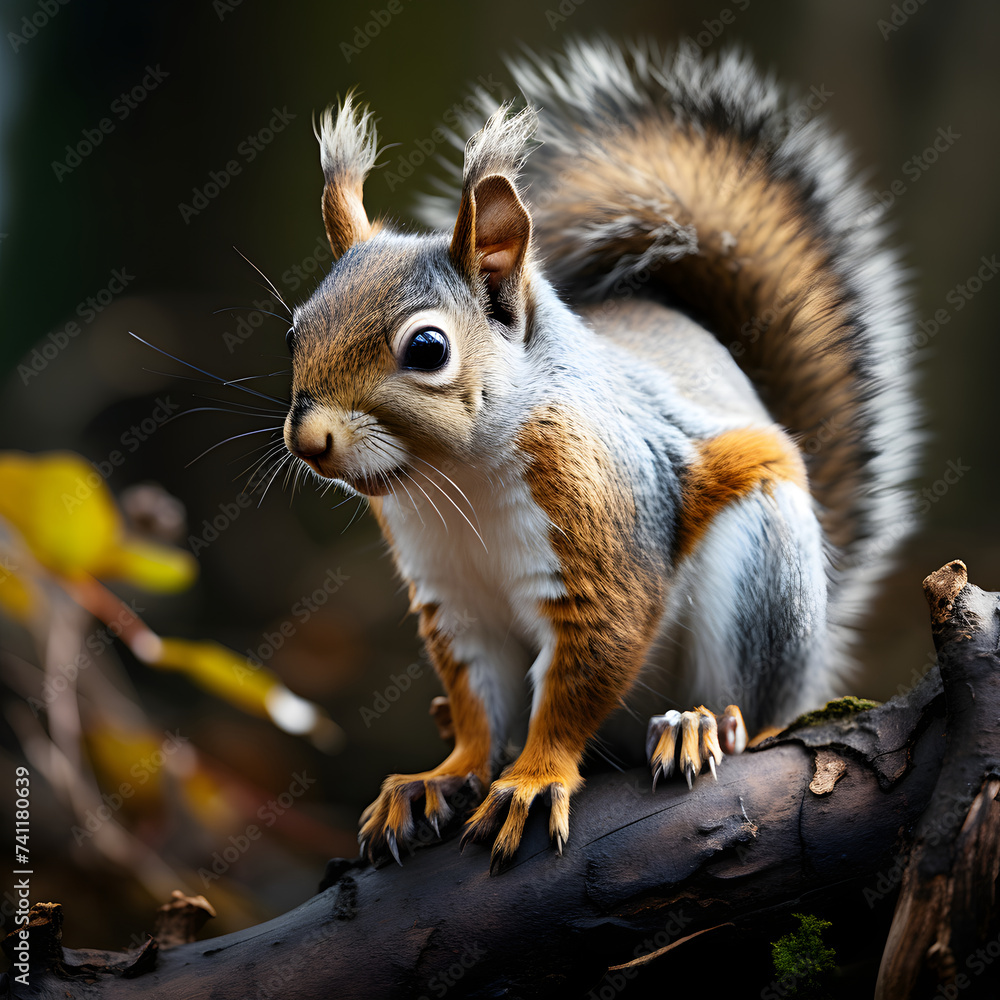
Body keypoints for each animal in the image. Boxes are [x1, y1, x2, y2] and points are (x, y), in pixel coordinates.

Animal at [282, 39, 917, 870]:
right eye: (294, 331)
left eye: (427, 348)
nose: (308, 440)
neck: (457, 480)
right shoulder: (452, 599)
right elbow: (478, 702)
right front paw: (440, 775)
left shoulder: (603, 531)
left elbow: (584, 672)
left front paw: (532, 779)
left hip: (764, 568)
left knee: (757, 703)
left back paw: (704, 723)